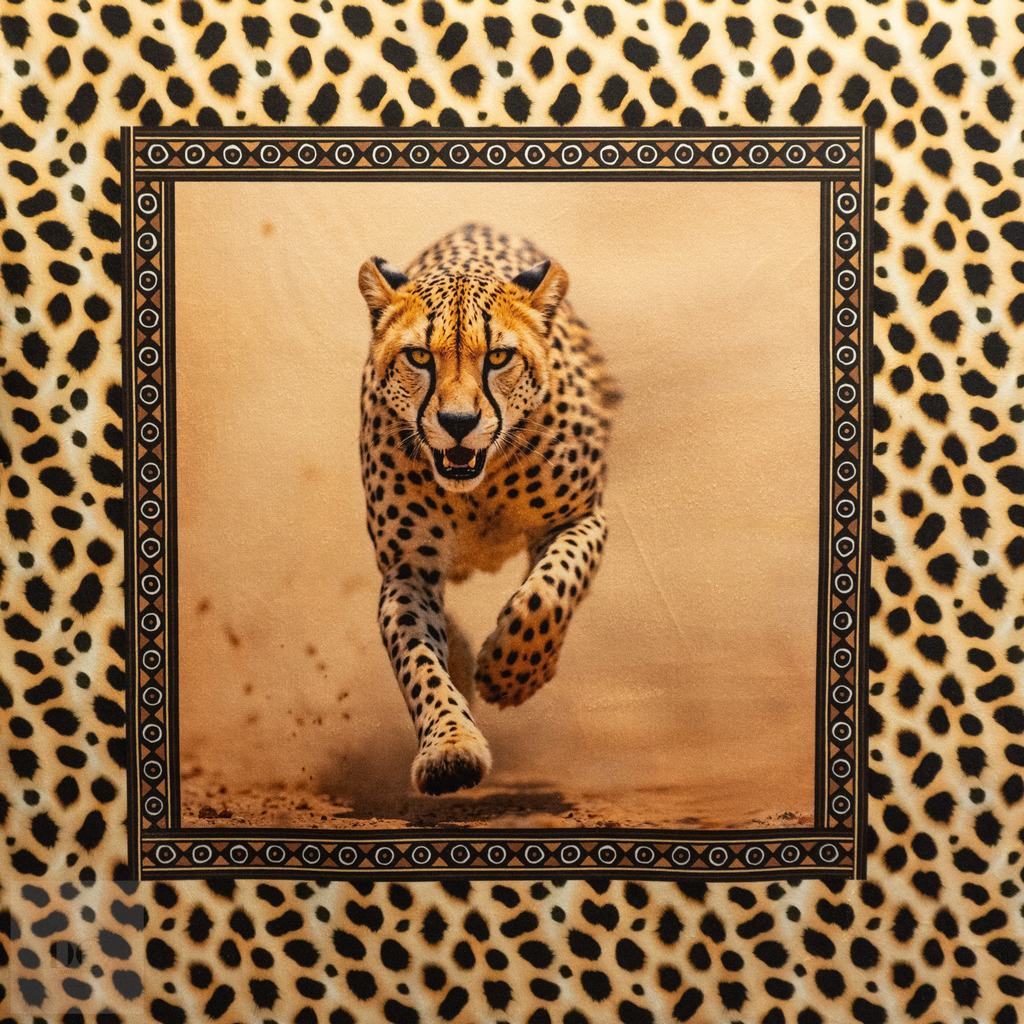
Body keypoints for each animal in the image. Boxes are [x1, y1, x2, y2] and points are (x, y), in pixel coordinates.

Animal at [357, 224, 621, 796]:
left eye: (498, 358)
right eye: (419, 357)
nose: (458, 423)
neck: (479, 487)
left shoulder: (582, 518)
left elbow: (548, 591)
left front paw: (510, 673)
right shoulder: (408, 569)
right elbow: (419, 662)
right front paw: (451, 748)